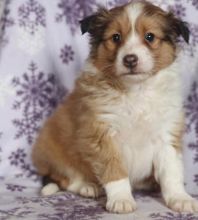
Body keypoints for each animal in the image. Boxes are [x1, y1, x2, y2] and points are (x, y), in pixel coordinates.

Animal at [31, 0, 198, 213]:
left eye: (150, 37)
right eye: (116, 37)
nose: (130, 59)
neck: (136, 91)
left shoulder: (166, 133)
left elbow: (172, 171)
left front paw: (180, 198)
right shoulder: (102, 132)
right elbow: (114, 170)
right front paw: (121, 199)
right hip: (53, 146)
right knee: (66, 177)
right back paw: (88, 186)